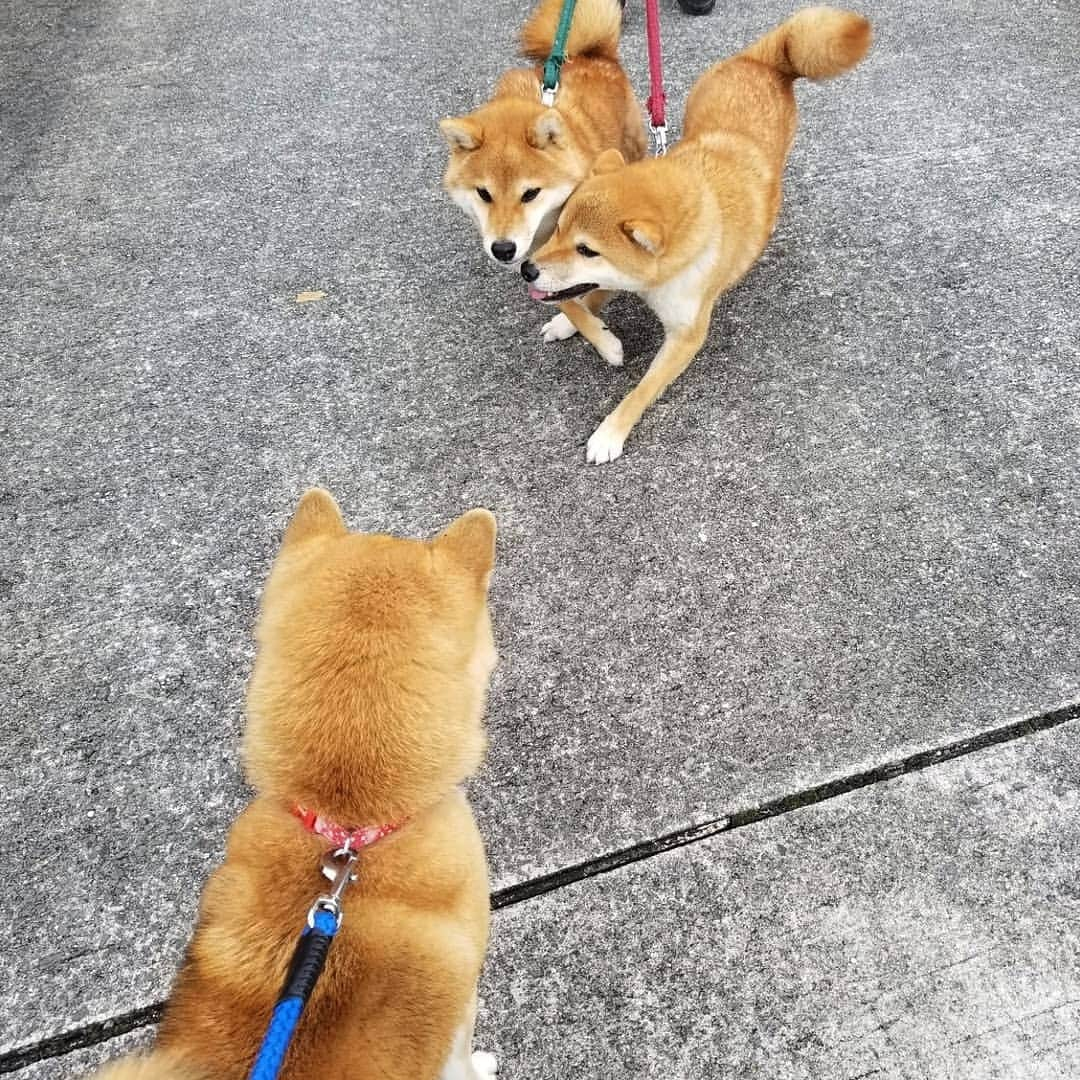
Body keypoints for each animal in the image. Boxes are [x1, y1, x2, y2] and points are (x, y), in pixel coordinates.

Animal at [440, 0, 643, 367]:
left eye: (530, 194)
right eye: (484, 194)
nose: (503, 249)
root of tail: (592, 56)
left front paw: (603, 341)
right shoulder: (536, 255)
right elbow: (562, 296)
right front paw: (576, 324)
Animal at [518, 5, 872, 460]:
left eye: (586, 249)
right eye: (559, 228)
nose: (527, 269)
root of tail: (766, 62)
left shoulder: (686, 335)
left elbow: (640, 391)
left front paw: (610, 433)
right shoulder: (625, 279)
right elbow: (582, 301)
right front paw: (580, 328)